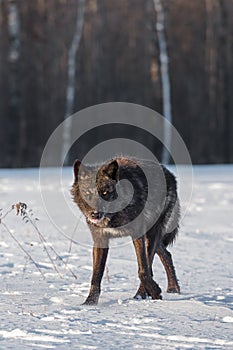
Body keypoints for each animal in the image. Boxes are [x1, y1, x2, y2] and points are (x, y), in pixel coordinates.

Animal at [71, 157, 180, 304]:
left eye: (105, 193)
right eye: (87, 193)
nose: (95, 214)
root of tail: (170, 174)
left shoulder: (138, 234)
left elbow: (143, 270)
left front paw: (155, 293)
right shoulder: (100, 239)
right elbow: (96, 274)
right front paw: (90, 303)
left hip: (151, 234)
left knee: (150, 264)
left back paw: (142, 295)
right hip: (154, 239)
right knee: (166, 254)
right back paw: (173, 289)